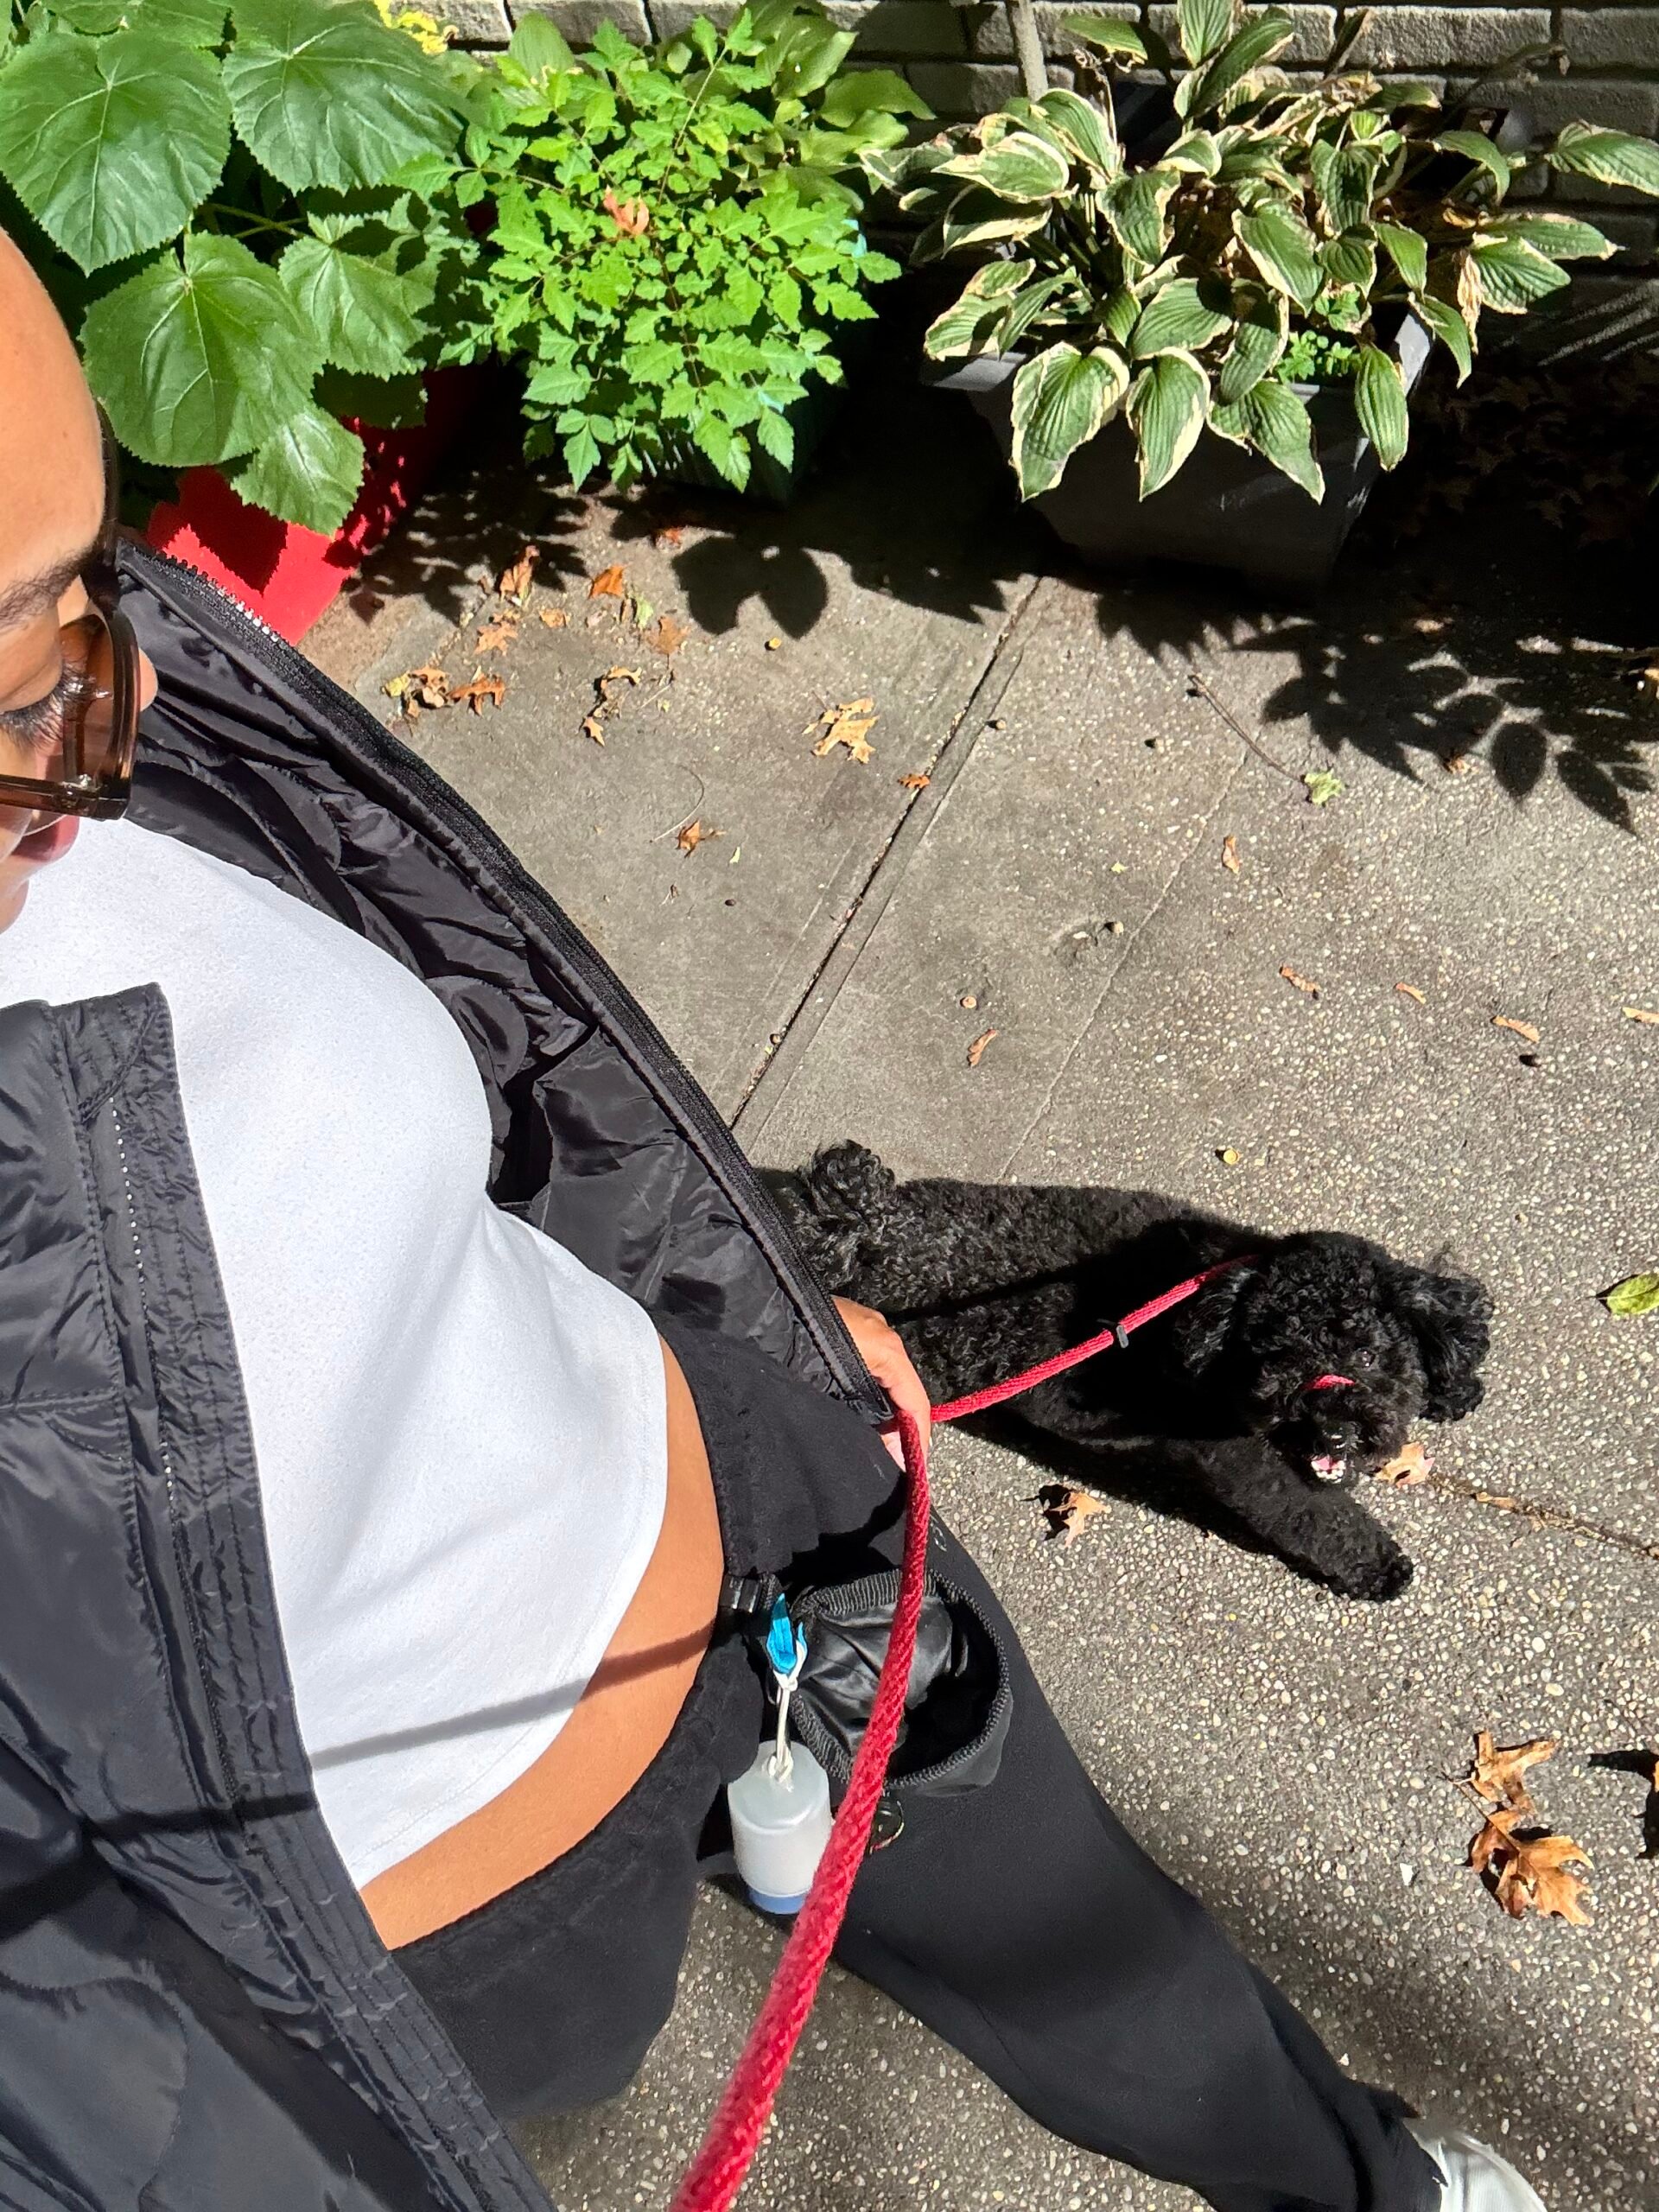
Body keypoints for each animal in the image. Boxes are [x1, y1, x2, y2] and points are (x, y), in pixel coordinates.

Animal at [763, 1143, 1493, 1602]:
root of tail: (867, 1231)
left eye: (1367, 1355)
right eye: (1279, 1361)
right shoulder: (1238, 1456)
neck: (1211, 1306)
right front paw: (1378, 1565)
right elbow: (1312, 1513)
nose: (1333, 1434)